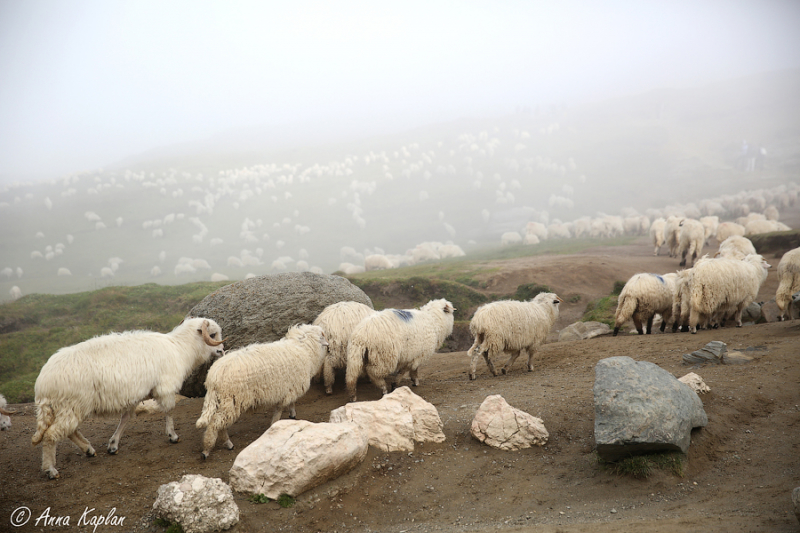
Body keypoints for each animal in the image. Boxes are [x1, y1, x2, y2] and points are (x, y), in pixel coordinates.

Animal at [31, 316, 225, 478]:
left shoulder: (135, 395)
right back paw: (50, 469)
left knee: (69, 431)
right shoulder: (165, 387)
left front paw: (113, 445)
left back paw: (88, 449)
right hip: (71, 405)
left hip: (69, 407)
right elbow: (169, 411)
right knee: (51, 435)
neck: (181, 348)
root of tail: (42, 384)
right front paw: (173, 436)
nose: (222, 351)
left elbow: (126, 418)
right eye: (212, 334)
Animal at [197, 324, 328, 458]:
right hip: (231, 400)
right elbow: (279, 410)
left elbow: (290, 403)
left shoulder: (290, 388)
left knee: (218, 422)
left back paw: (225, 443)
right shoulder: (287, 390)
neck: (304, 348)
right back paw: (211, 448)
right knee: (215, 423)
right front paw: (275, 424)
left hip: (223, 400)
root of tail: (214, 376)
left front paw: (292, 414)